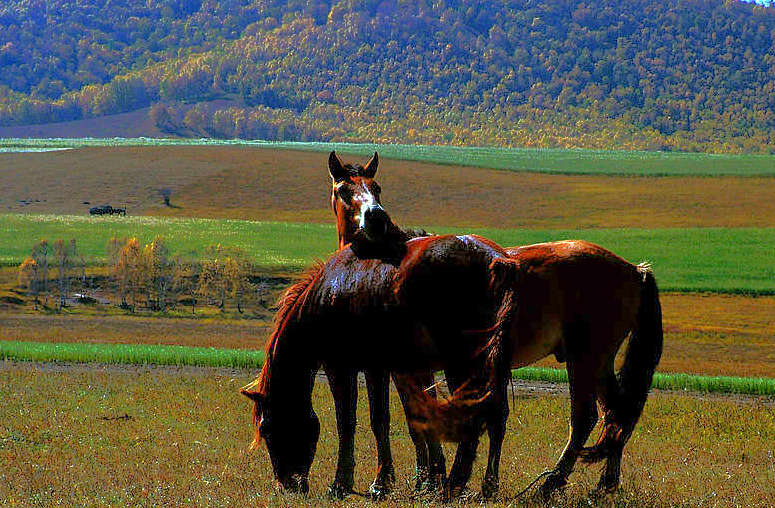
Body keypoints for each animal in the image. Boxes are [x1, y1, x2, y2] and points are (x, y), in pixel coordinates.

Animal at [324, 152, 664, 500]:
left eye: (376, 187)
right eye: (344, 190)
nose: (376, 219)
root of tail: (634, 270)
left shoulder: (384, 365)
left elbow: (389, 418)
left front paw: (391, 482)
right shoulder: (413, 368)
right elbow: (417, 416)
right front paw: (427, 478)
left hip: (583, 359)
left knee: (585, 417)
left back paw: (549, 485)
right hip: (598, 362)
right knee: (617, 412)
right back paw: (604, 485)